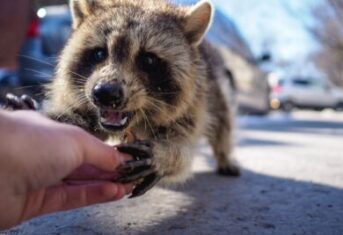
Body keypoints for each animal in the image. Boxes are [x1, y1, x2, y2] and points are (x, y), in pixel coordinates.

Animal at [6, 0, 241, 198]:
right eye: (99, 53)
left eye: (148, 59)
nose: (105, 93)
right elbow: (76, 118)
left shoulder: (194, 103)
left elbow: (184, 149)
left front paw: (166, 155)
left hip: (215, 85)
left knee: (223, 119)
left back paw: (224, 154)